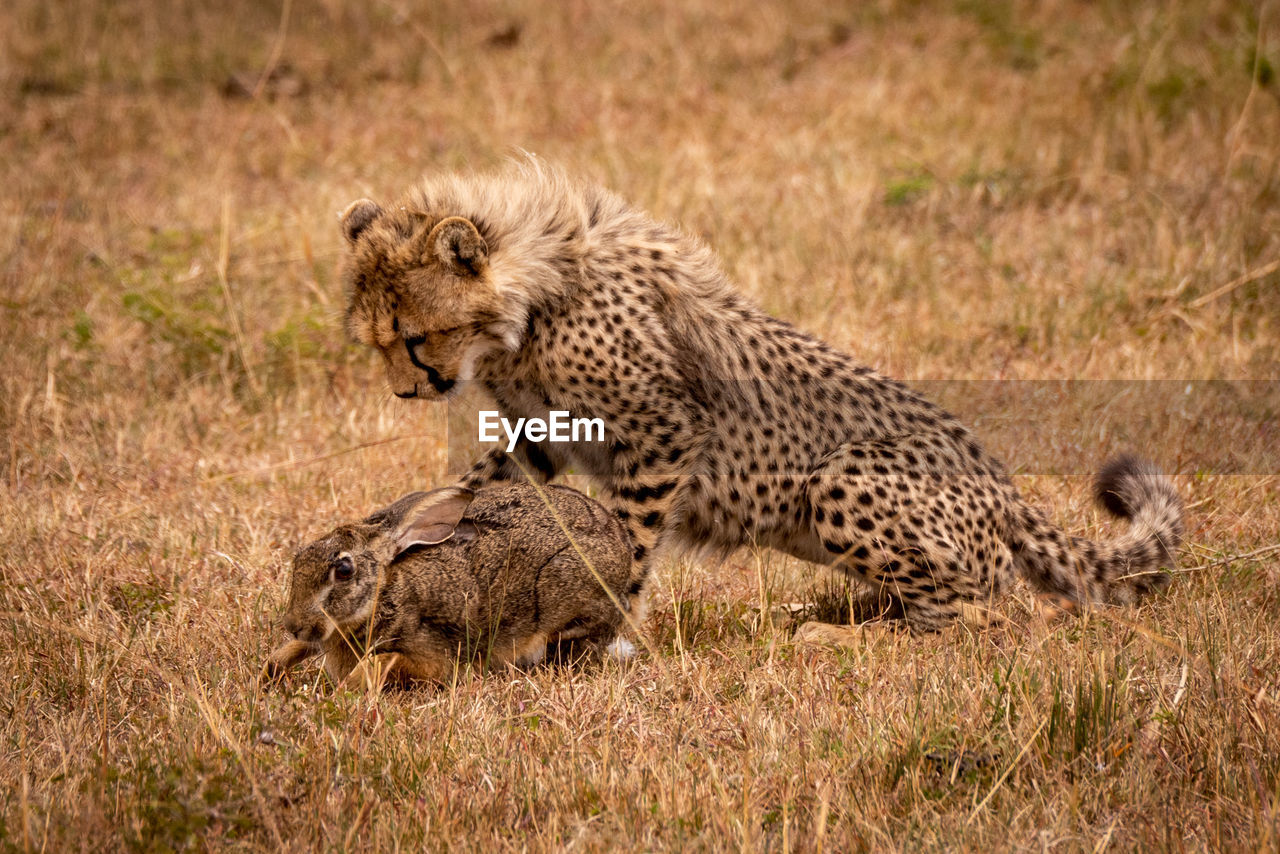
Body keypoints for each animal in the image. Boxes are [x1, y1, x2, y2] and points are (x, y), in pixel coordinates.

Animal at [262, 483, 640, 691]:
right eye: (301, 556)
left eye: (343, 570)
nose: (293, 625)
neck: (382, 597)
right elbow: (292, 651)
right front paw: (269, 673)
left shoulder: (428, 655)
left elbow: (380, 663)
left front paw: (348, 688)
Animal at [335, 160, 1182, 632]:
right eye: (375, 342)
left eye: (414, 337)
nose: (407, 391)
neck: (532, 297)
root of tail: (1004, 488)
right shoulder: (541, 439)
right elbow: (473, 488)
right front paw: (400, 534)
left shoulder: (663, 432)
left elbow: (627, 537)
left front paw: (603, 631)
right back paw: (812, 614)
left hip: (844, 478)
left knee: (980, 610)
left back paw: (834, 638)